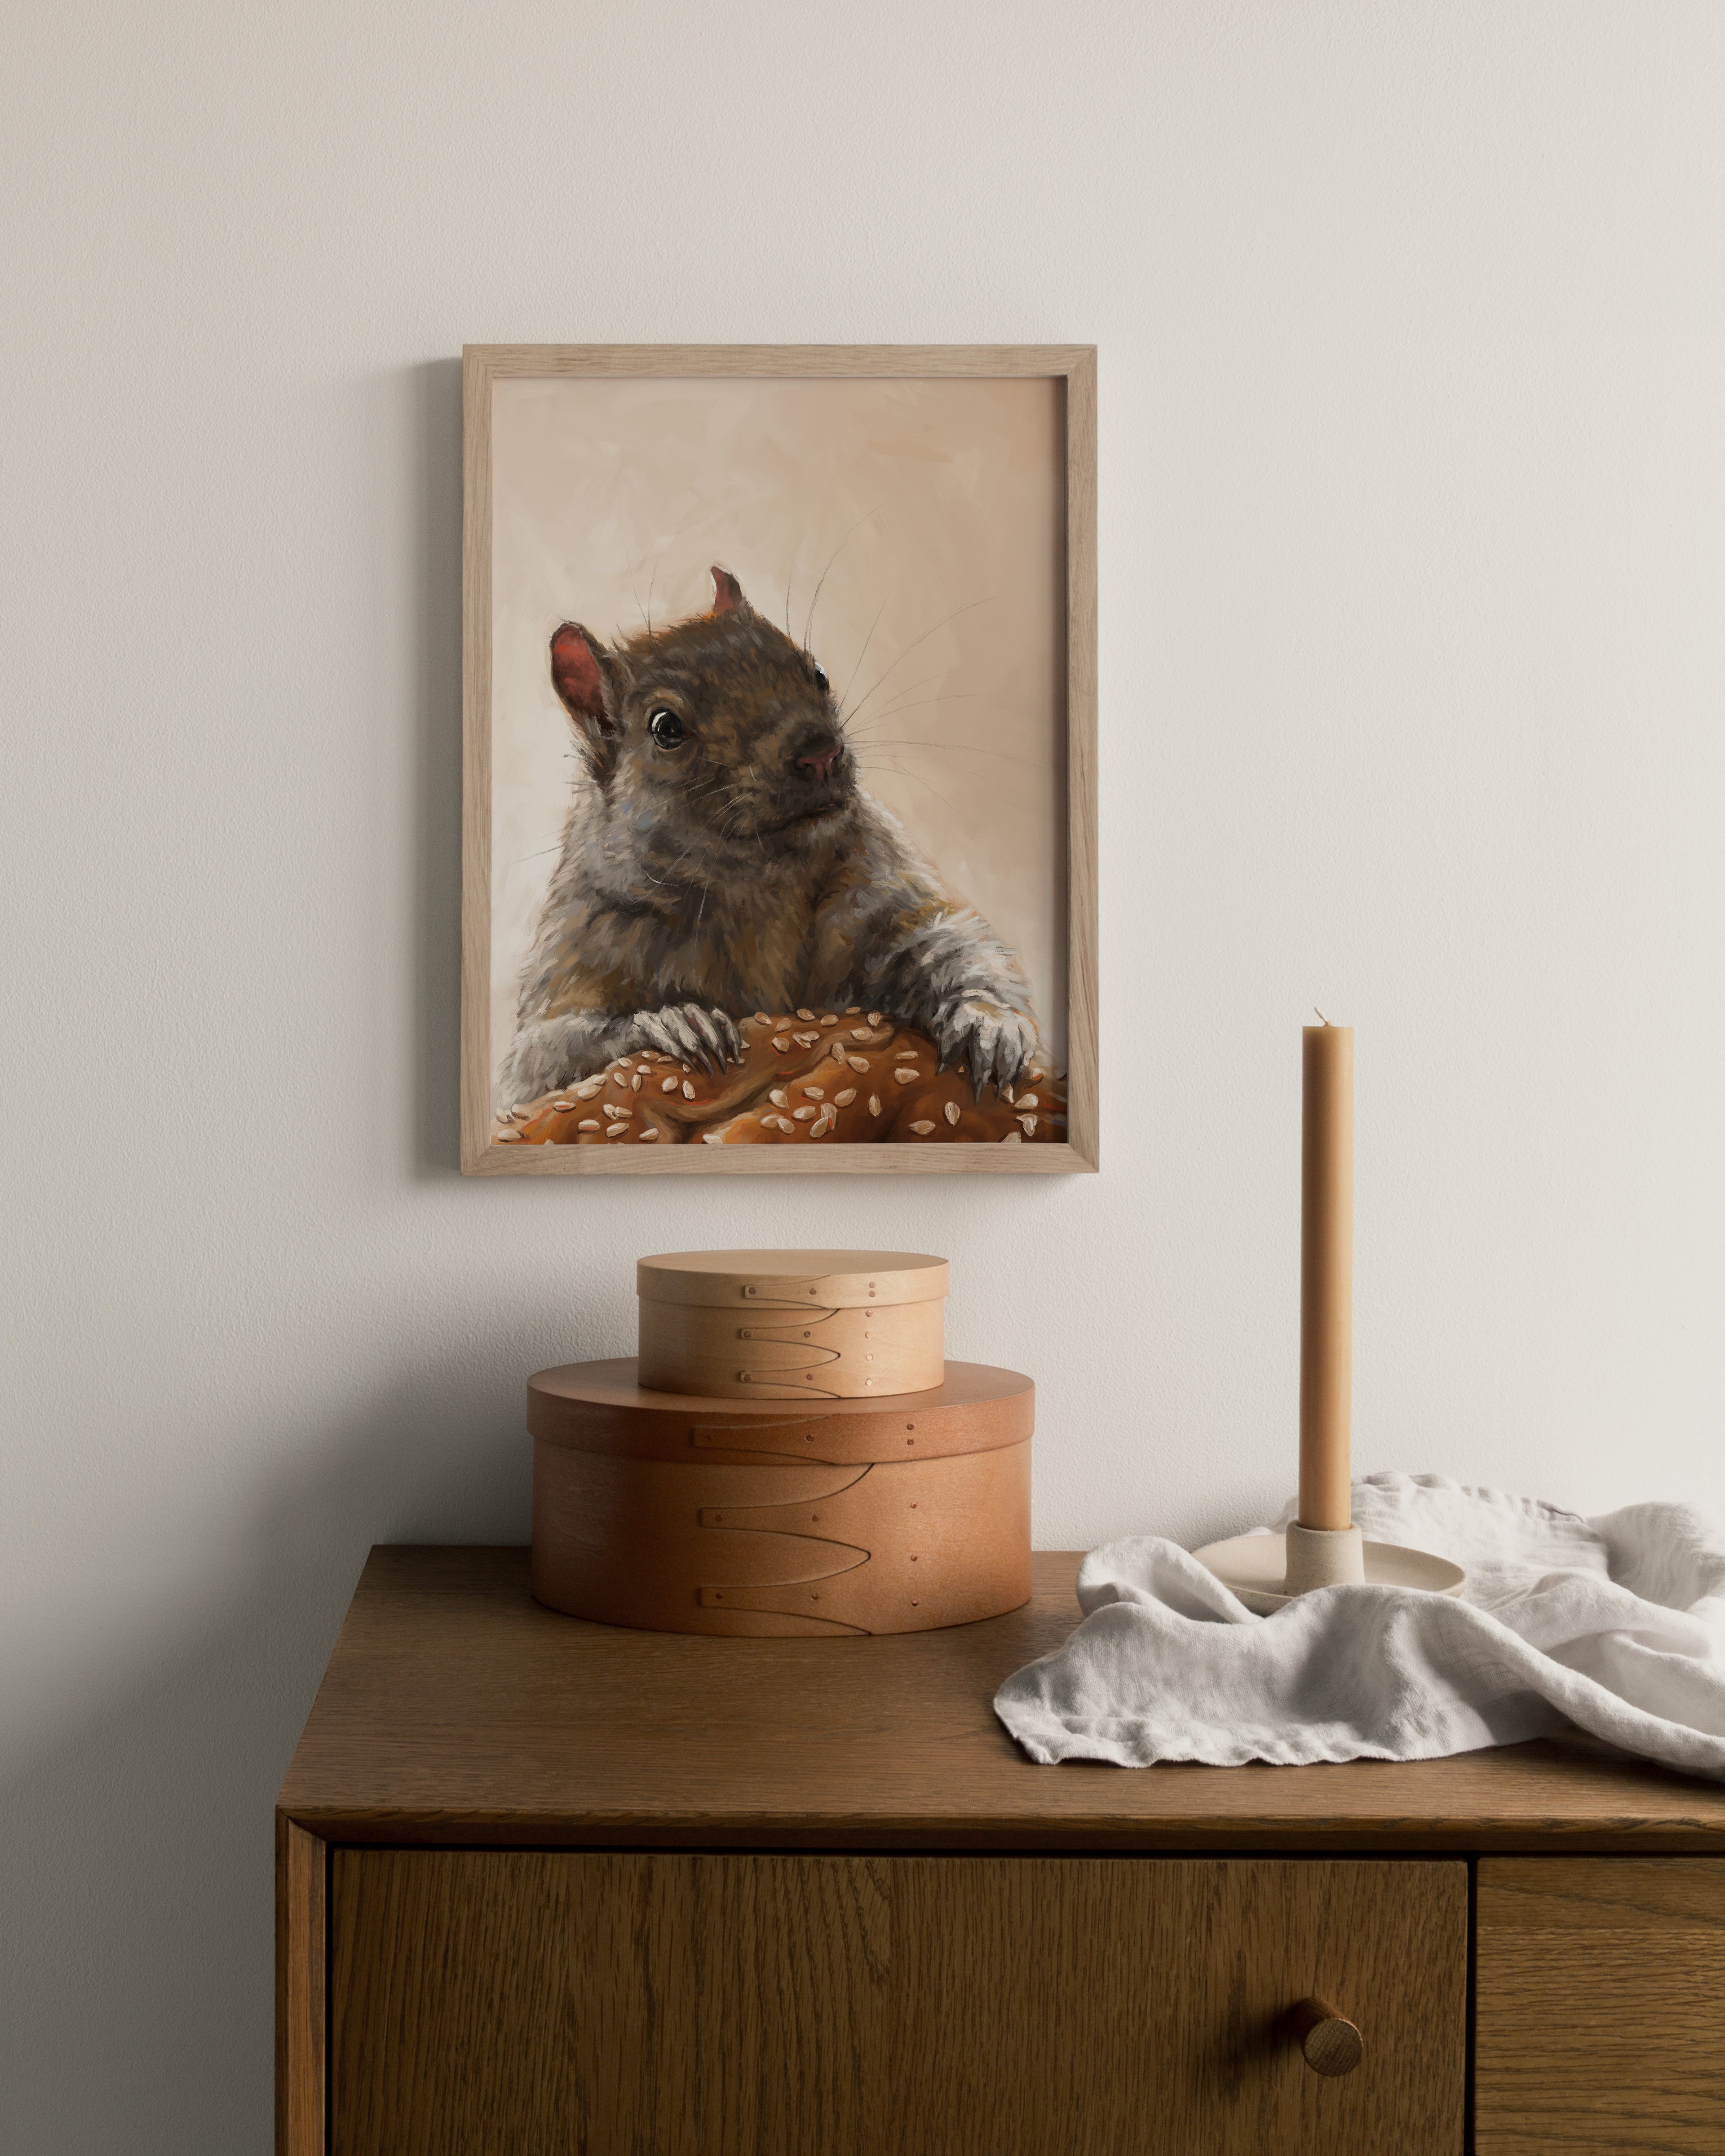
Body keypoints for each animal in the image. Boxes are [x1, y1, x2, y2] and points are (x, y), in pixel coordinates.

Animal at [497, 566, 1041, 1109]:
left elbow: (949, 944)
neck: (761, 885)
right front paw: (672, 1021)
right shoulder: (583, 947)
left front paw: (988, 1022)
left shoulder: (878, 896)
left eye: (818, 673)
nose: (820, 752)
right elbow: (540, 1064)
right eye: (665, 727)